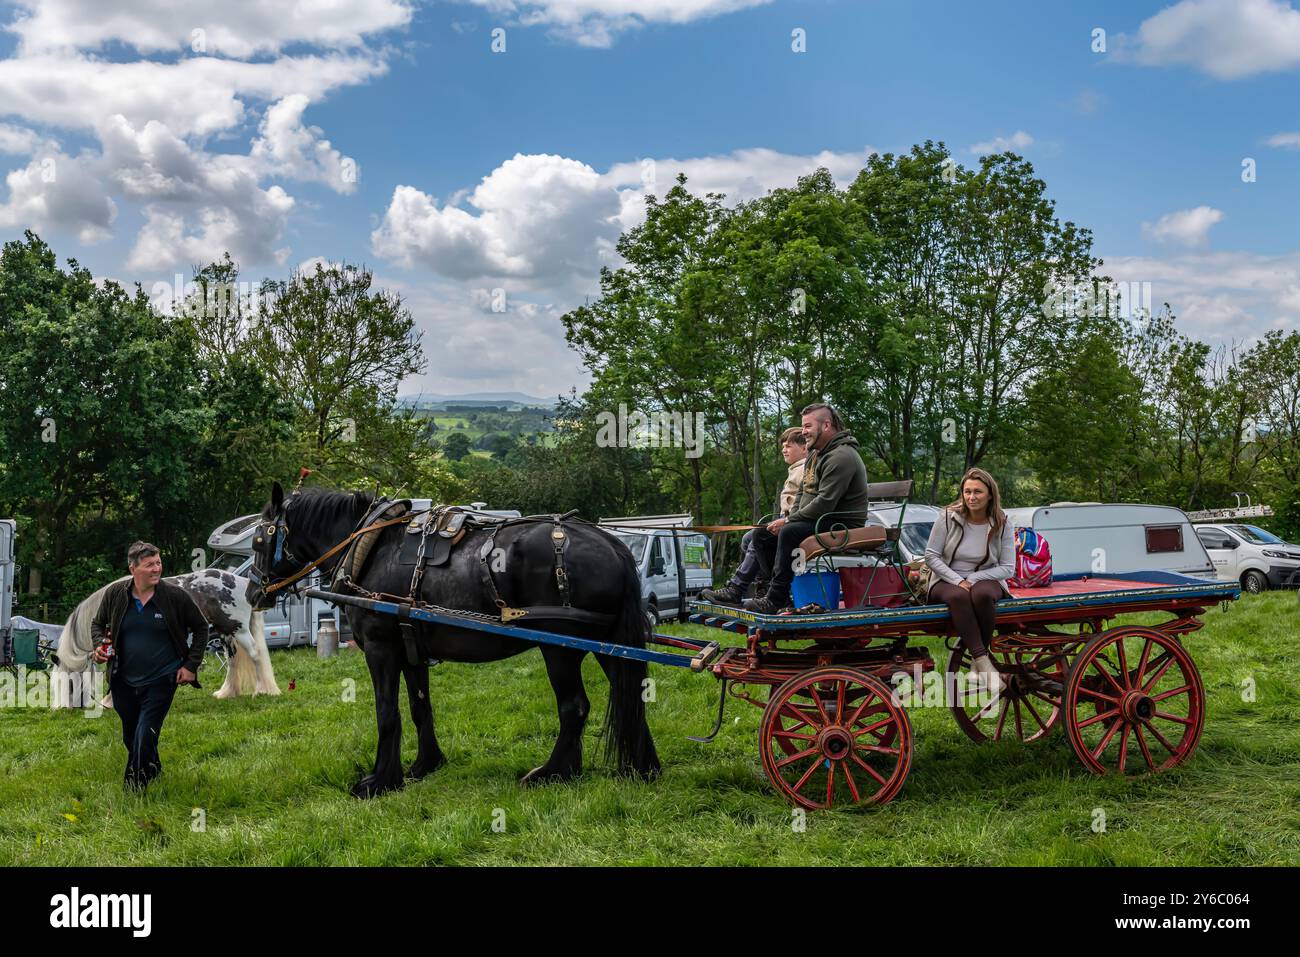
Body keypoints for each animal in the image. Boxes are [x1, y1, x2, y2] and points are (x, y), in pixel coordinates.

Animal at [244, 481, 660, 795]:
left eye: (259, 543)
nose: (253, 593)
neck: (370, 548)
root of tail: (613, 545)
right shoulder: (411, 649)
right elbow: (419, 708)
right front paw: (424, 765)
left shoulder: (381, 648)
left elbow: (387, 713)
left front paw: (380, 781)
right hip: (608, 643)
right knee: (629, 692)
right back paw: (642, 767)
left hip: (560, 648)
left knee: (574, 707)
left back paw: (554, 772)